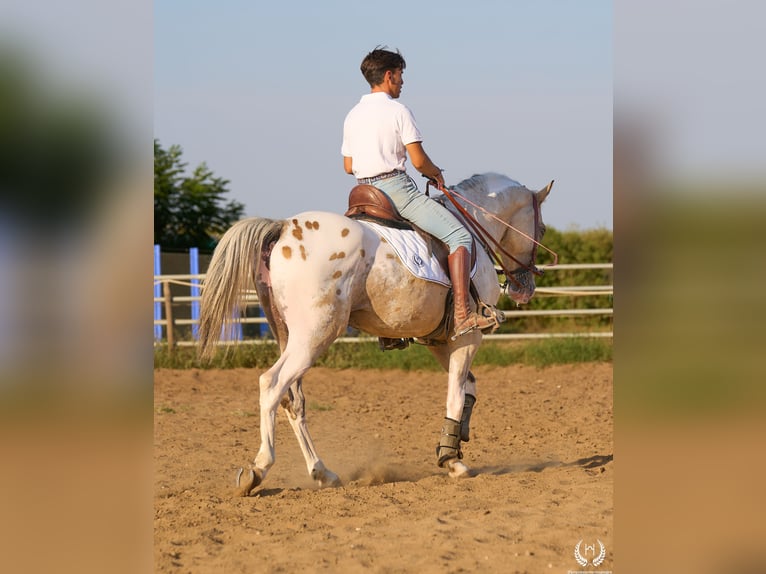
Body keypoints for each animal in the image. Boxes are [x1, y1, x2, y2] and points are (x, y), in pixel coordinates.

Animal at [198, 172, 552, 496]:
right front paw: (452, 460)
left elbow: (469, 388)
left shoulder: (439, 341)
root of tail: (284, 227)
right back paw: (258, 469)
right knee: (272, 385)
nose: (525, 288)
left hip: (288, 336)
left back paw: (322, 472)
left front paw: (456, 442)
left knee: (293, 400)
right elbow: (456, 393)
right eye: (543, 230)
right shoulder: (466, 337)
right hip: (314, 336)